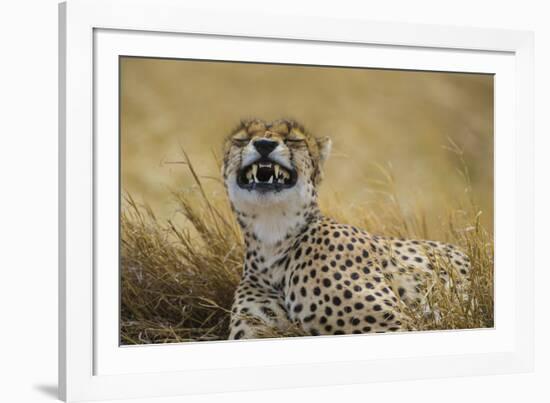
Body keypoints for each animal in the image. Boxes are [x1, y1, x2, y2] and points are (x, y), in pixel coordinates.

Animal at [222, 118, 472, 340]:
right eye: (242, 139)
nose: (264, 144)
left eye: (293, 139)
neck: (272, 239)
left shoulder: (395, 324)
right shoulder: (257, 332)